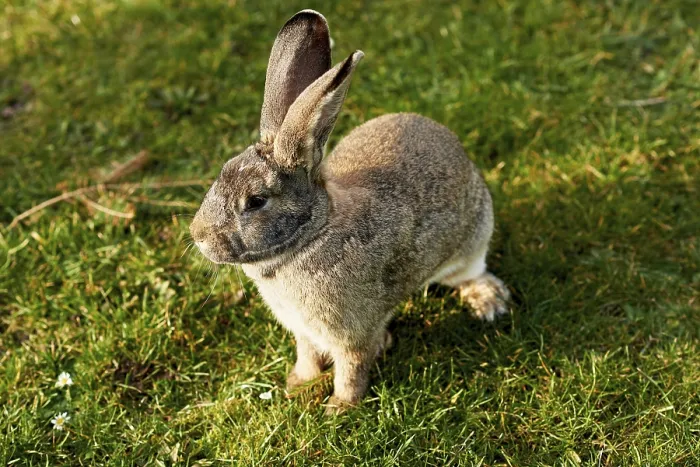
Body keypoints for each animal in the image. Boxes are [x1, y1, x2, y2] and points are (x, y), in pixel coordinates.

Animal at [190, 10, 510, 414]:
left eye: (256, 201)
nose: (198, 236)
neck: (310, 237)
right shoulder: (305, 331)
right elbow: (307, 355)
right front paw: (297, 383)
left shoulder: (351, 333)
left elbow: (351, 368)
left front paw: (340, 408)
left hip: (473, 240)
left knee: (472, 273)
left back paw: (489, 302)